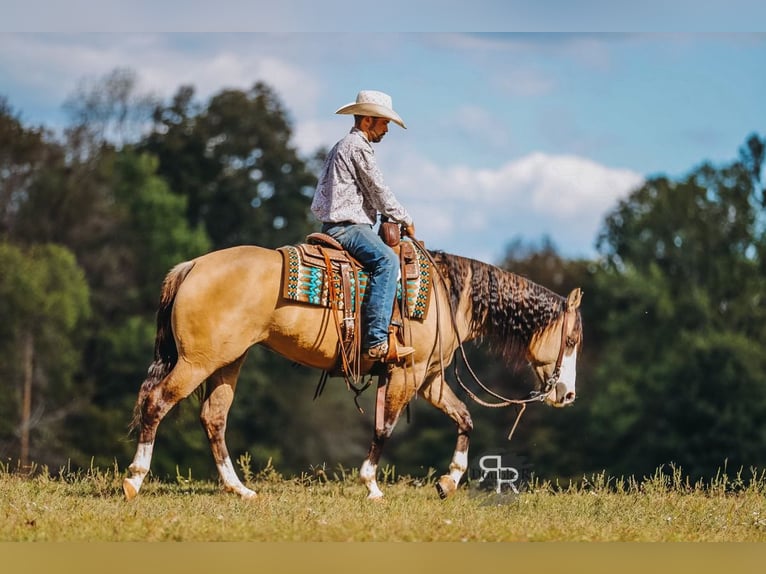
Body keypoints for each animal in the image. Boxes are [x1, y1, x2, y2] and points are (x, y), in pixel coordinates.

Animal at [122, 242, 583, 500]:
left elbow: (465, 418)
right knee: (157, 403)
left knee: (213, 418)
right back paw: (135, 480)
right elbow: (384, 427)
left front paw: (449, 482)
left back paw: (239, 489)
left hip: (227, 362)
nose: (568, 395)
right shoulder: (407, 374)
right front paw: (372, 485)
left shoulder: (430, 379)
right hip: (196, 362)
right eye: (572, 340)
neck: (448, 296)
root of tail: (193, 266)